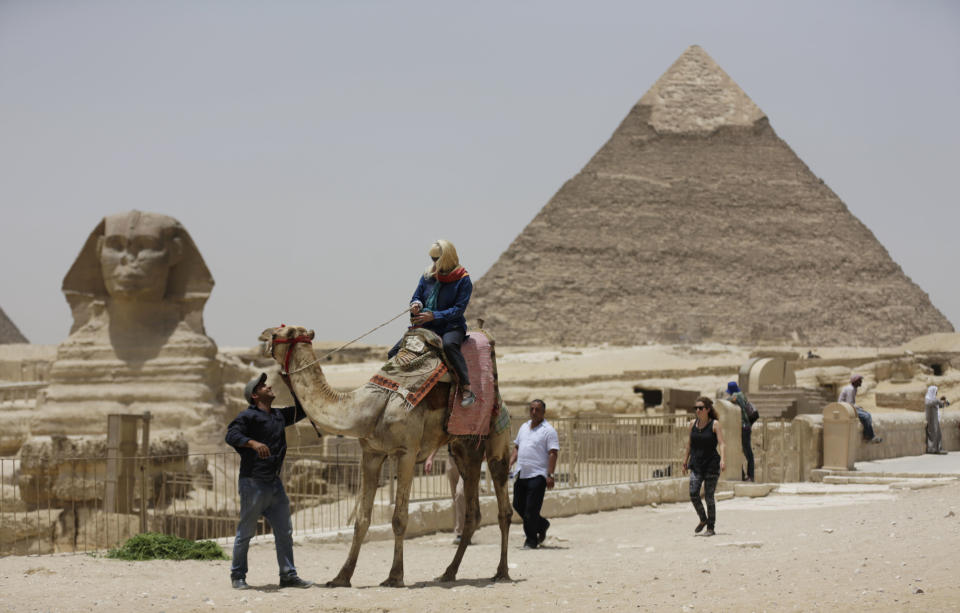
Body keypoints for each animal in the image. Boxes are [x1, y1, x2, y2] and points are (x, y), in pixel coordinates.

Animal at [255, 322, 510, 584]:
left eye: (280, 333)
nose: (262, 335)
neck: (368, 406)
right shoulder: (371, 453)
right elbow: (361, 520)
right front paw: (341, 577)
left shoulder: (407, 452)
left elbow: (399, 518)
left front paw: (395, 576)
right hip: (463, 449)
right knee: (472, 513)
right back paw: (449, 573)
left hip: (496, 438)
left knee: (504, 507)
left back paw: (501, 572)